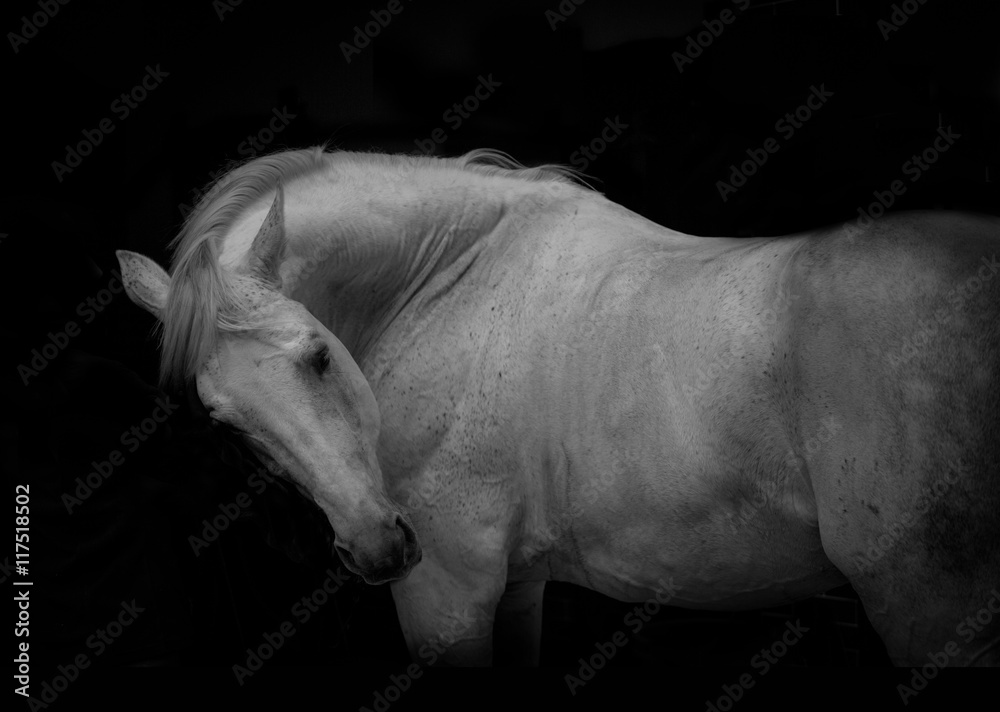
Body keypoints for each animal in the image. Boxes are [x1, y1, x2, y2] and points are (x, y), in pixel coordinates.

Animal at [116, 146, 1000, 667]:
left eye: (318, 355)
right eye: (225, 421)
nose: (377, 546)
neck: (446, 289)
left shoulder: (447, 597)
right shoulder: (510, 589)